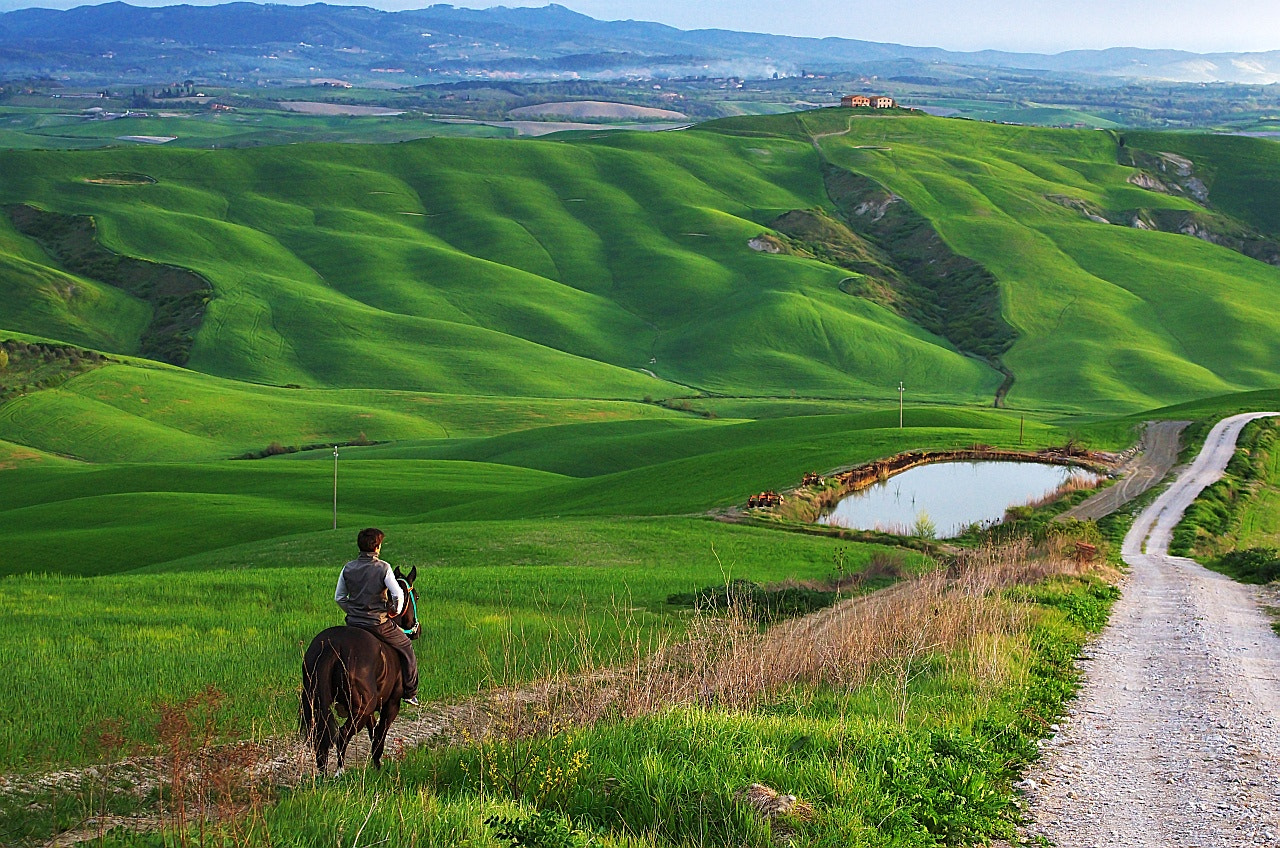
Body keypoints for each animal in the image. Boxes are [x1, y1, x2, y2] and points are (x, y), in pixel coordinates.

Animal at [299, 571, 419, 778]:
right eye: (417, 597)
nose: (416, 631)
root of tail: (332, 645)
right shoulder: (391, 705)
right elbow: (379, 735)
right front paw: (378, 766)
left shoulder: (371, 711)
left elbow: (373, 734)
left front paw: (375, 765)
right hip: (363, 707)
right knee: (342, 734)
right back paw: (339, 772)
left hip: (316, 704)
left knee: (321, 739)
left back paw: (323, 775)